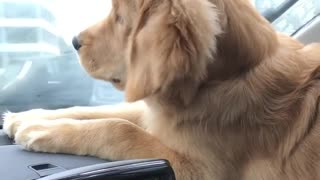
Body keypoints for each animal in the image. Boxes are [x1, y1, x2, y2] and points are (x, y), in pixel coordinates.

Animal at [2, 0, 320, 179]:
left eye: (120, 18)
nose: (74, 41)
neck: (226, 78)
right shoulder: (158, 114)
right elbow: (102, 111)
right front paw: (26, 117)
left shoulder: (201, 171)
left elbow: (118, 128)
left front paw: (40, 130)